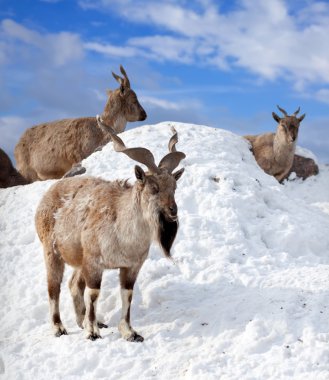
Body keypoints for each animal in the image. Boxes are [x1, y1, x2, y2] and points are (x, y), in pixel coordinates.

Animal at [14, 65, 145, 183]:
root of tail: (17, 146)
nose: (144, 114)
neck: (102, 133)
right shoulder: (78, 156)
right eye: (134, 98)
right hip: (27, 171)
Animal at [36, 124, 186, 342]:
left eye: (174, 187)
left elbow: (127, 294)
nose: (173, 211)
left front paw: (129, 332)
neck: (124, 236)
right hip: (52, 252)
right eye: (154, 187)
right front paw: (92, 332)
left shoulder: (130, 267)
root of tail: (47, 195)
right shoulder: (94, 263)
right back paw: (59, 327)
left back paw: (84, 321)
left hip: (79, 260)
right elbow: (93, 294)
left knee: (74, 284)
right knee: (53, 288)